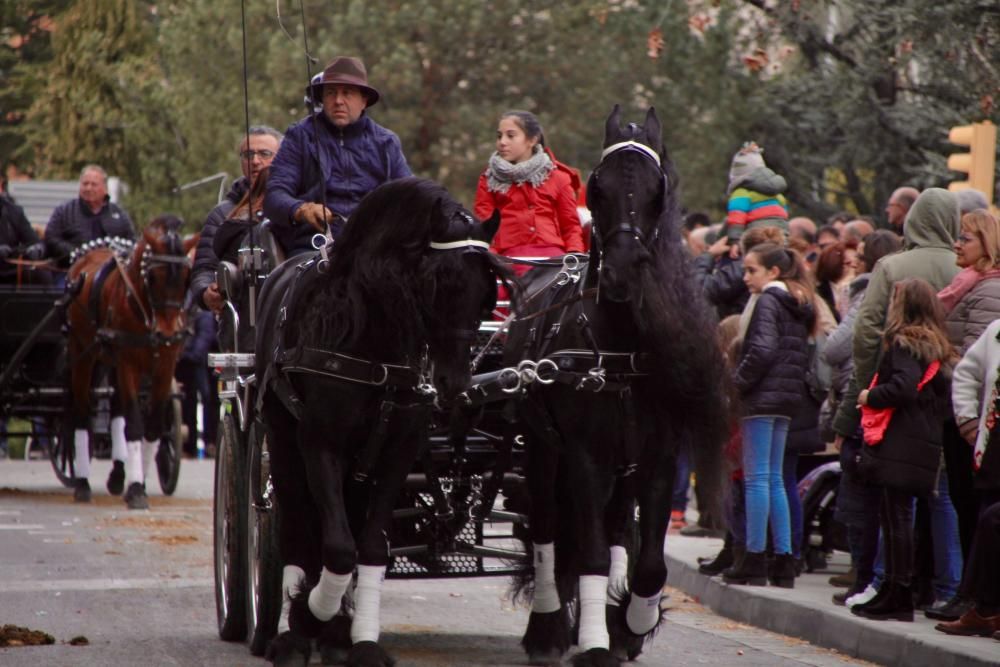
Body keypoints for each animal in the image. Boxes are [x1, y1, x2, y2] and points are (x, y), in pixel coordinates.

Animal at [66, 217, 195, 508]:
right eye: (153, 276)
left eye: (186, 278)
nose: (167, 334)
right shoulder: (128, 365)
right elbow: (135, 424)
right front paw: (136, 489)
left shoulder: (164, 369)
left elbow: (153, 427)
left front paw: (137, 482)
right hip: (83, 354)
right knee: (81, 413)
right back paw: (82, 483)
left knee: (116, 411)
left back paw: (117, 475)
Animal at [254, 177, 512, 667]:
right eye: (440, 283)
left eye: (487, 291)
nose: (456, 382)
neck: (371, 342)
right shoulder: (320, 445)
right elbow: (336, 548)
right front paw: (306, 614)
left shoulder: (396, 452)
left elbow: (369, 547)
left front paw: (361, 639)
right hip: (280, 441)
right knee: (295, 527)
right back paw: (289, 635)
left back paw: (337, 630)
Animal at [508, 107, 728, 664]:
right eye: (598, 186)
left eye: (657, 189)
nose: (624, 273)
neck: (622, 350)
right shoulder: (586, 457)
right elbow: (587, 555)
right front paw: (594, 643)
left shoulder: (658, 458)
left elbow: (648, 562)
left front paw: (629, 624)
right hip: (542, 450)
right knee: (546, 532)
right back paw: (546, 629)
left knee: (614, 536)